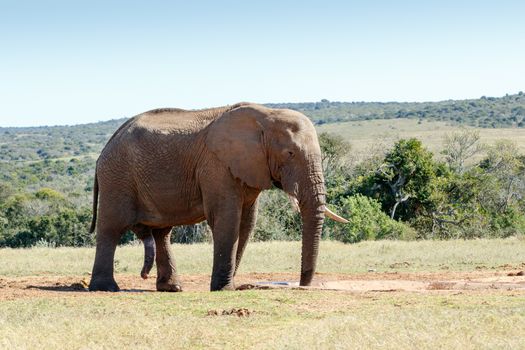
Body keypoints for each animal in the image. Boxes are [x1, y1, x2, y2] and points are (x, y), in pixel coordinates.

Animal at [87, 102, 346, 292]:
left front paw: (228, 285)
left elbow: (246, 223)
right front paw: (224, 289)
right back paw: (106, 288)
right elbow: (226, 219)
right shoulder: (216, 166)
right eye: (290, 153)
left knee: (162, 233)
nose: (303, 285)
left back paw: (172, 288)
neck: (266, 114)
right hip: (117, 177)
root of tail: (105, 148)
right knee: (110, 227)